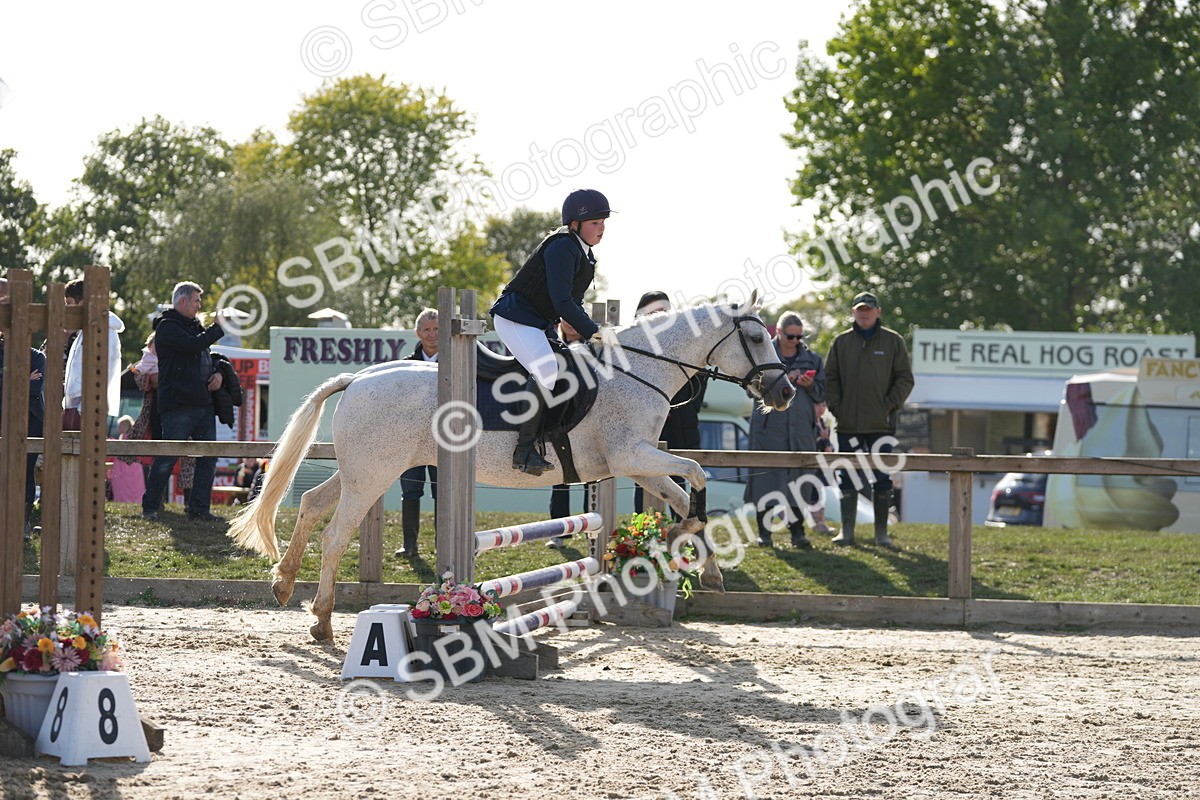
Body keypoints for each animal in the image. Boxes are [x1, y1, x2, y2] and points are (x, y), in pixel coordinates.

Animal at [227, 291, 794, 640]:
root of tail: (359, 378)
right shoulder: (631, 455)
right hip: (374, 474)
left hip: (362, 469)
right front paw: (696, 549)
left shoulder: (636, 463)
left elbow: (682, 496)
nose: (786, 392)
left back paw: (284, 583)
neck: (638, 370)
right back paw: (322, 620)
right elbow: (695, 472)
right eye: (758, 338)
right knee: (335, 533)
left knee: (311, 503)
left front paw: (706, 563)